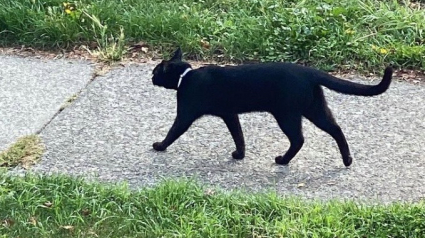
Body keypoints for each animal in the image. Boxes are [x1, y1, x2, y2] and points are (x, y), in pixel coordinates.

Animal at [151, 47, 392, 166]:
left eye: (155, 71)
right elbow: (238, 135)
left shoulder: (186, 113)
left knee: (299, 139)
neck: (186, 76)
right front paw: (240, 154)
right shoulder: (230, 114)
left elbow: (173, 131)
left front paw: (159, 146)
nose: (151, 77)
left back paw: (282, 161)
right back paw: (347, 160)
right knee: (336, 129)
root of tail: (309, 71)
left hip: (287, 114)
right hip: (314, 108)